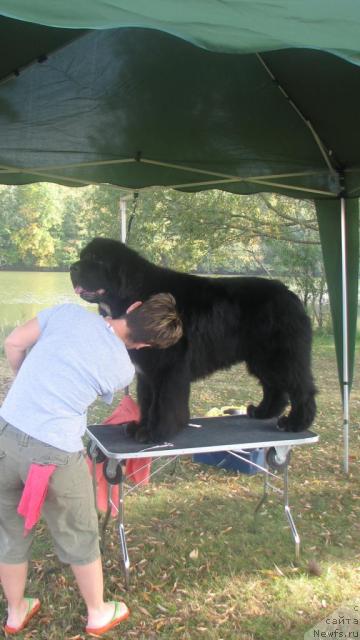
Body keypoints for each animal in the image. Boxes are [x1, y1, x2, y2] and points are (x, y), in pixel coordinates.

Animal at [70, 238, 316, 442]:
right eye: (83, 256)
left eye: (96, 259)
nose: (72, 268)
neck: (136, 294)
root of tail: (291, 295)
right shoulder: (147, 372)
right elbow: (147, 401)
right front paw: (141, 427)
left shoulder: (168, 368)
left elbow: (164, 403)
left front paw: (156, 433)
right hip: (261, 359)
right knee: (273, 386)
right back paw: (263, 412)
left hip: (280, 357)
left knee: (300, 388)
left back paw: (295, 423)